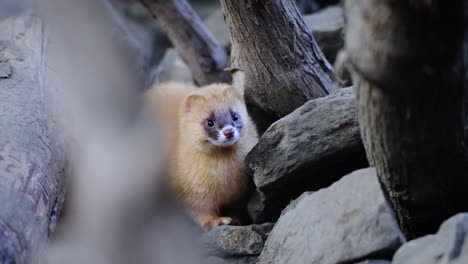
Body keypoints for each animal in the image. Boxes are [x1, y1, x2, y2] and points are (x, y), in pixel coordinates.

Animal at [144, 82, 258, 231]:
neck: (224, 180)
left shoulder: (240, 192)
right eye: (210, 122)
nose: (228, 132)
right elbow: (199, 210)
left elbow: (237, 208)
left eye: (235, 116)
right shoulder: (190, 190)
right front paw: (218, 221)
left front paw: (235, 220)